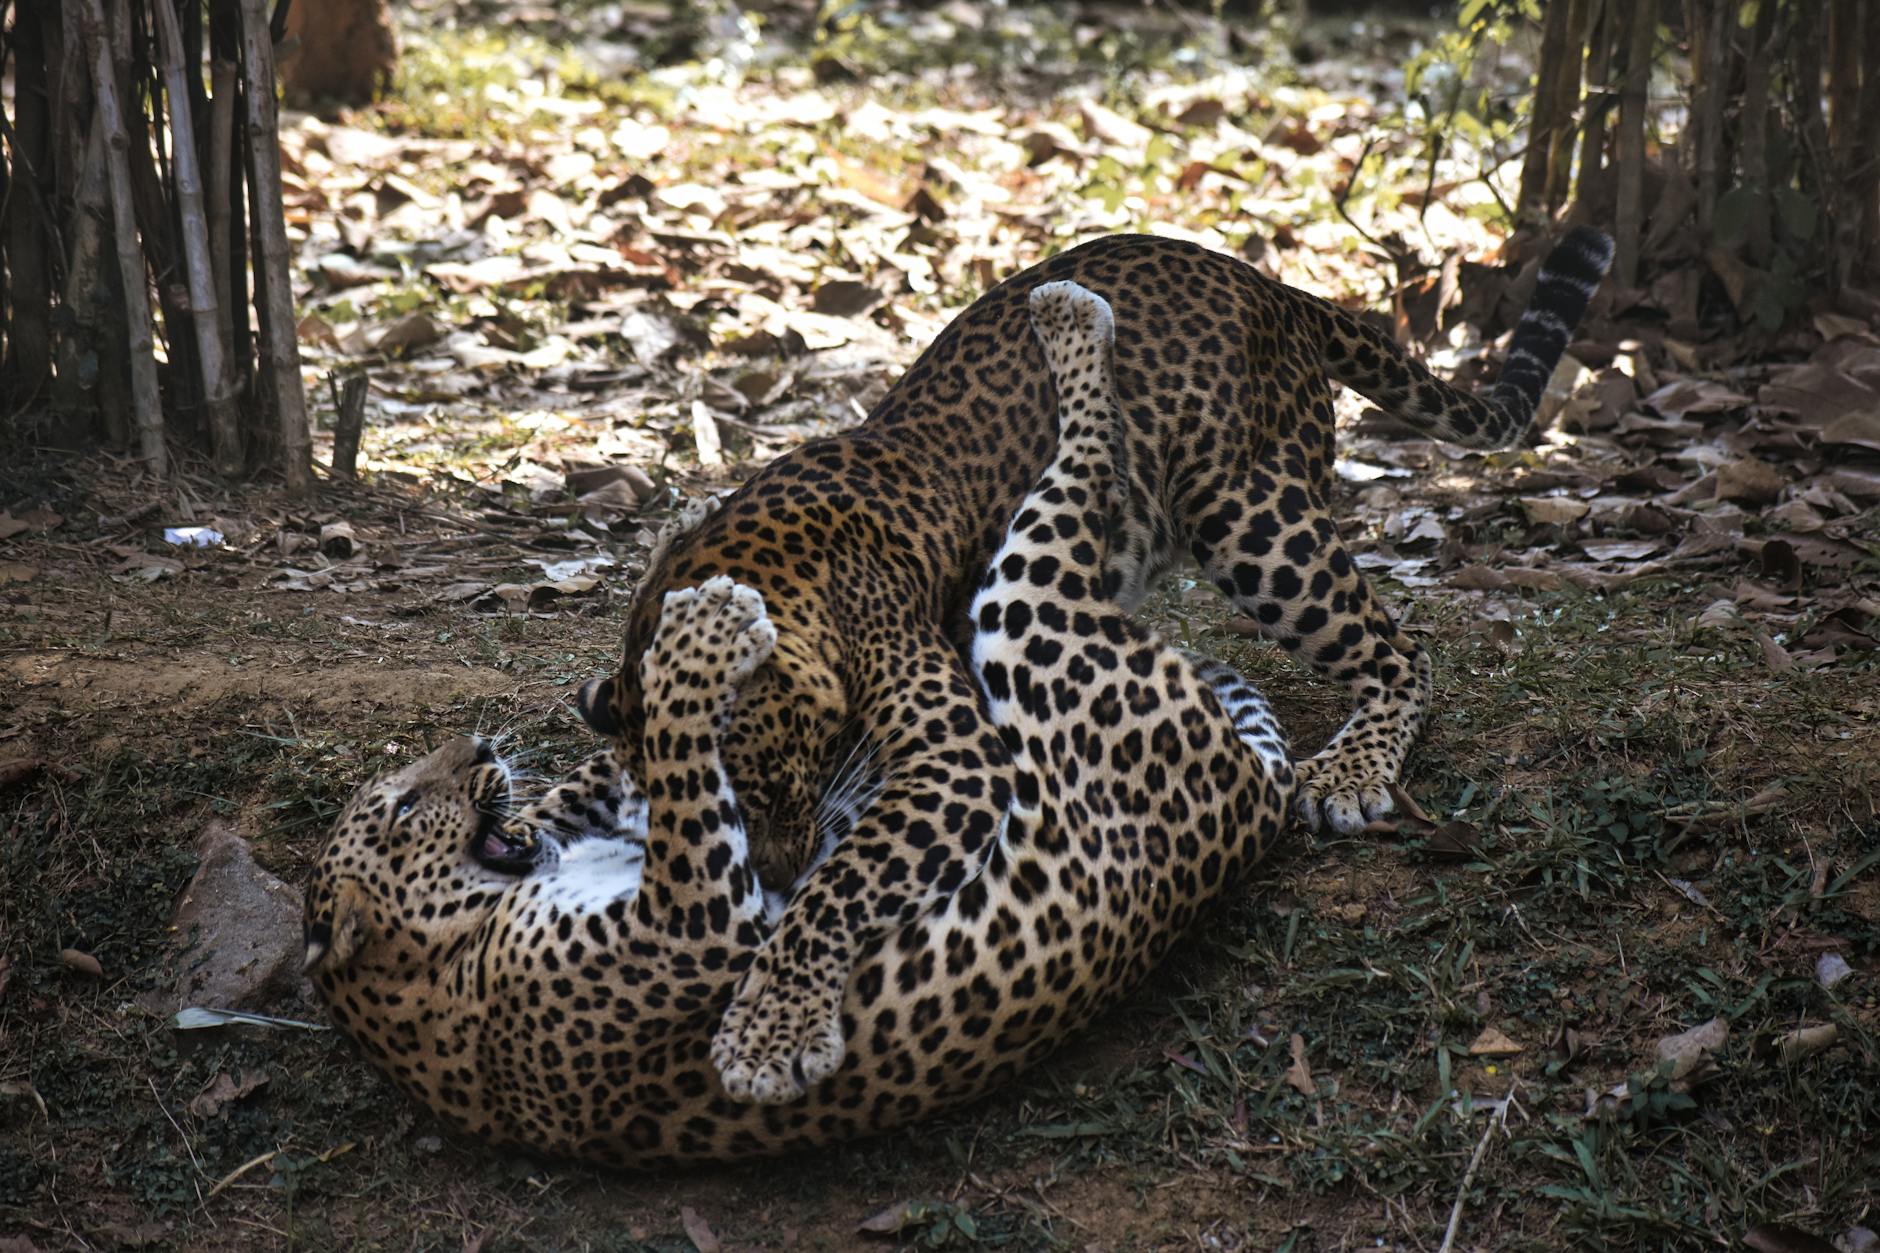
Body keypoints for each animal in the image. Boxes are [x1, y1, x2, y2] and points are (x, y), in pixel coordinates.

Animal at [302, 279, 1293, 1163]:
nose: (474, 746)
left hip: (1029, 603)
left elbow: (839, 883)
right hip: (1035, 610)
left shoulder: (948, 758)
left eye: (780, 783)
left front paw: (769, 1025)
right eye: (397, 809)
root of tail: (1252, 799)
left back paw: (1068, 320)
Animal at [577, 227, 1613, 1104]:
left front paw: (769, 1024)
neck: (768, 564)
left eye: (758, 779)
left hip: (1253, 520)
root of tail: (1261, 280)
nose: (772, 878)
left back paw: (1350, 773)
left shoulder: (954, 759)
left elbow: (846, 883)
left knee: (1401, 650)